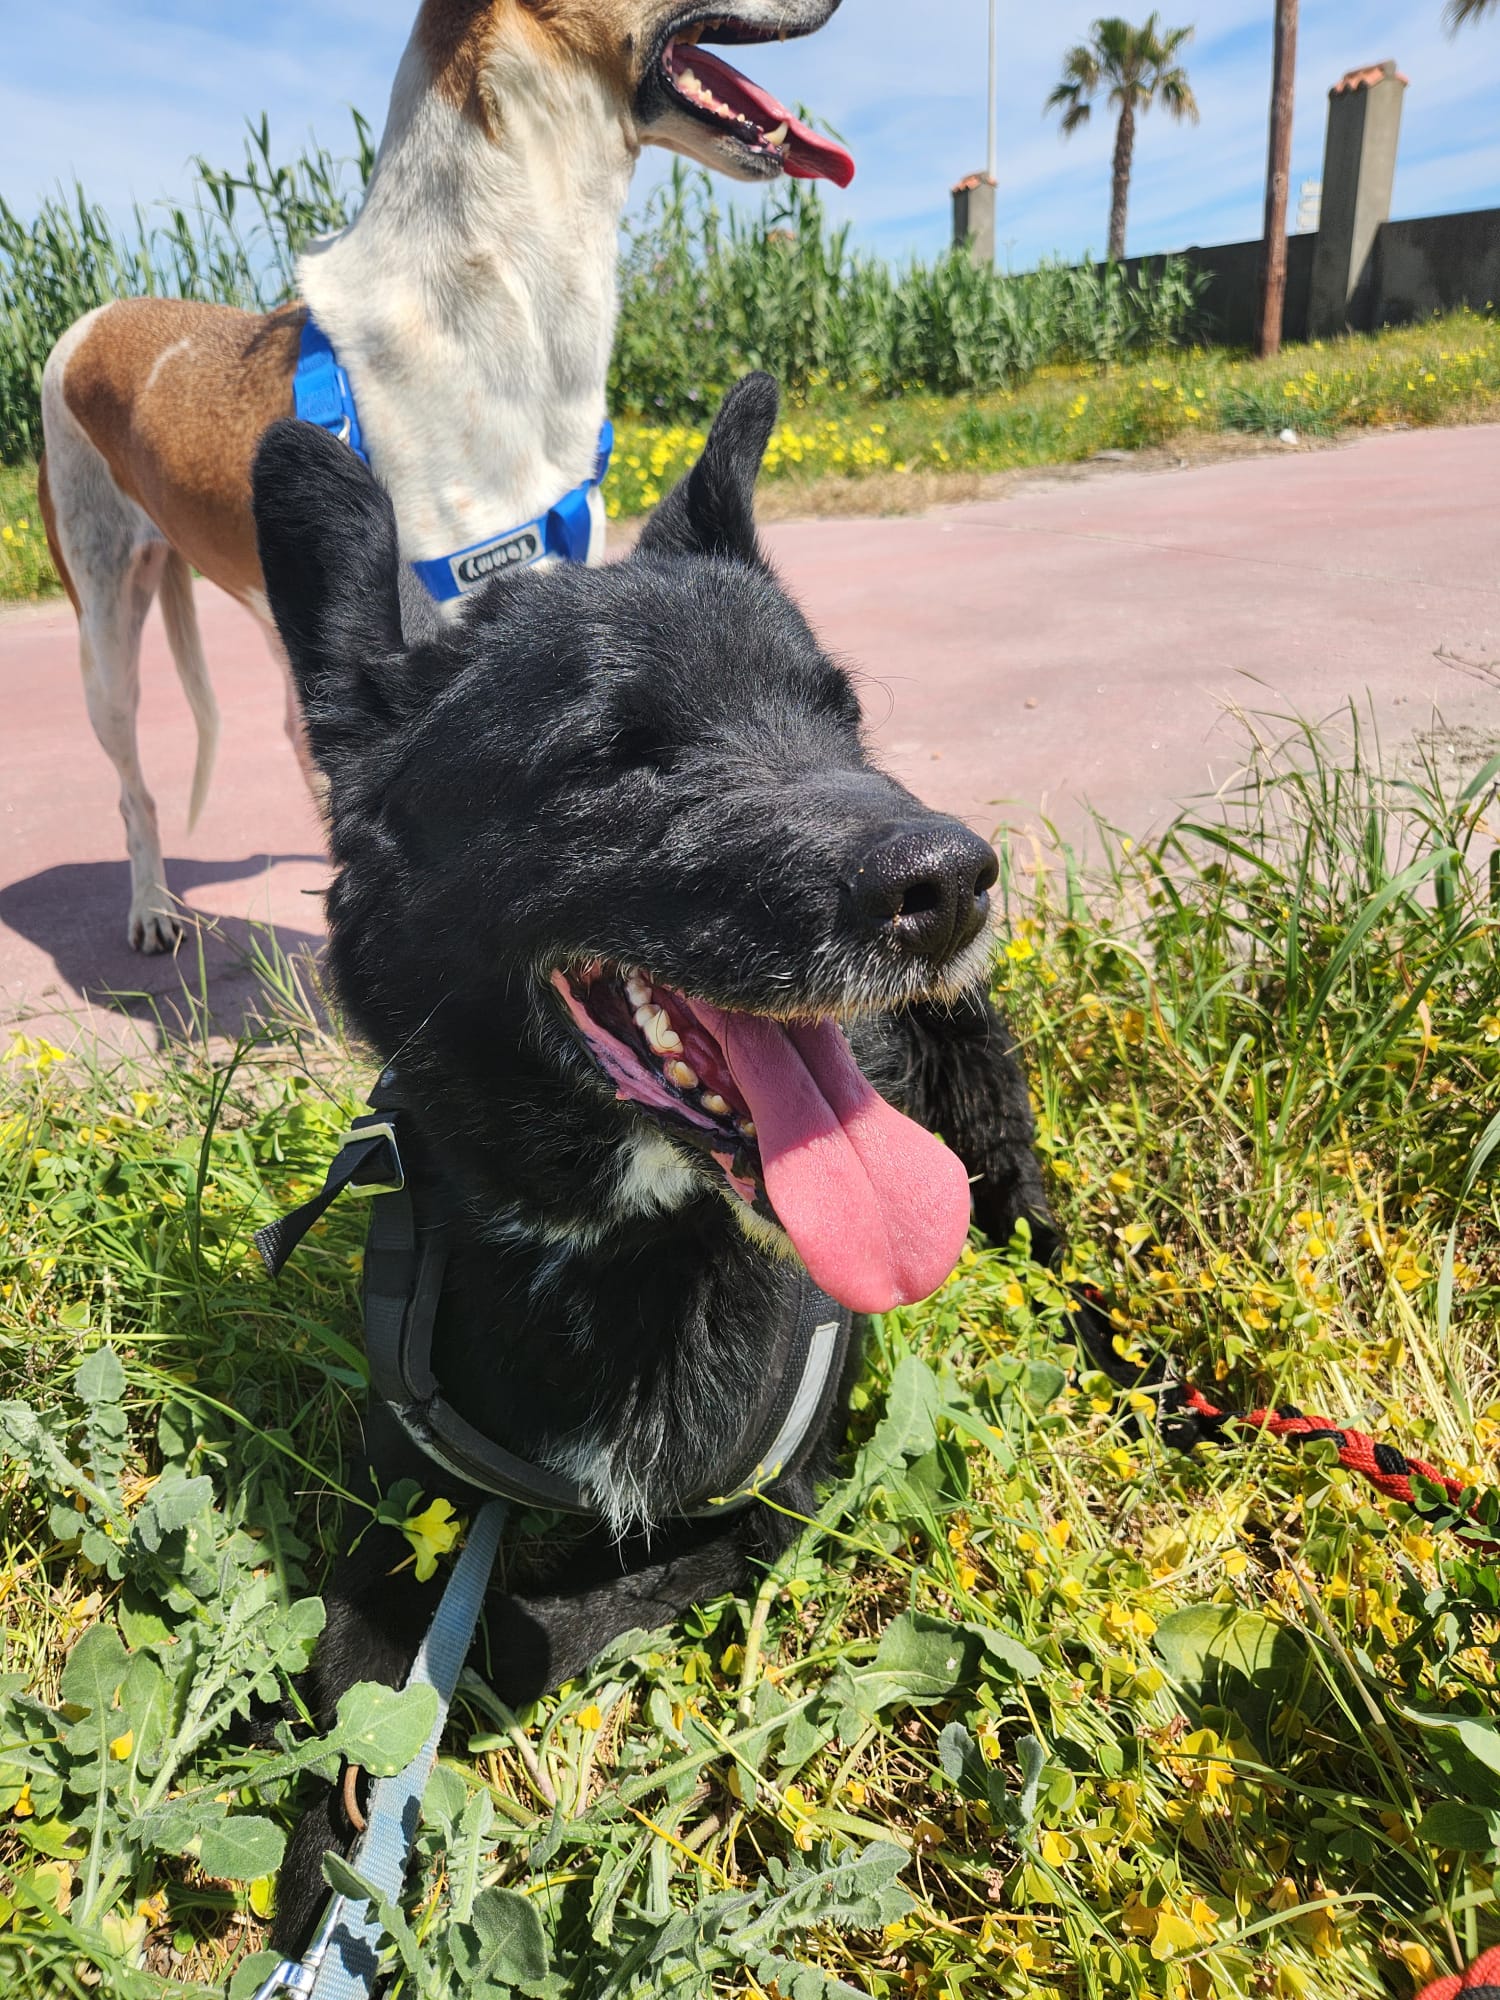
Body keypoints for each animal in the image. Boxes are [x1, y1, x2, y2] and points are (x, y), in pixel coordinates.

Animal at [249, 373, 1057, 1951]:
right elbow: (353, 1665)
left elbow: (554, 1625)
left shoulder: (779, 1509)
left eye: (843, 717)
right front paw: (331, 1848)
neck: (613, 1241)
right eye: (614, 755)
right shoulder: (402, 1500)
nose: (951, 879)